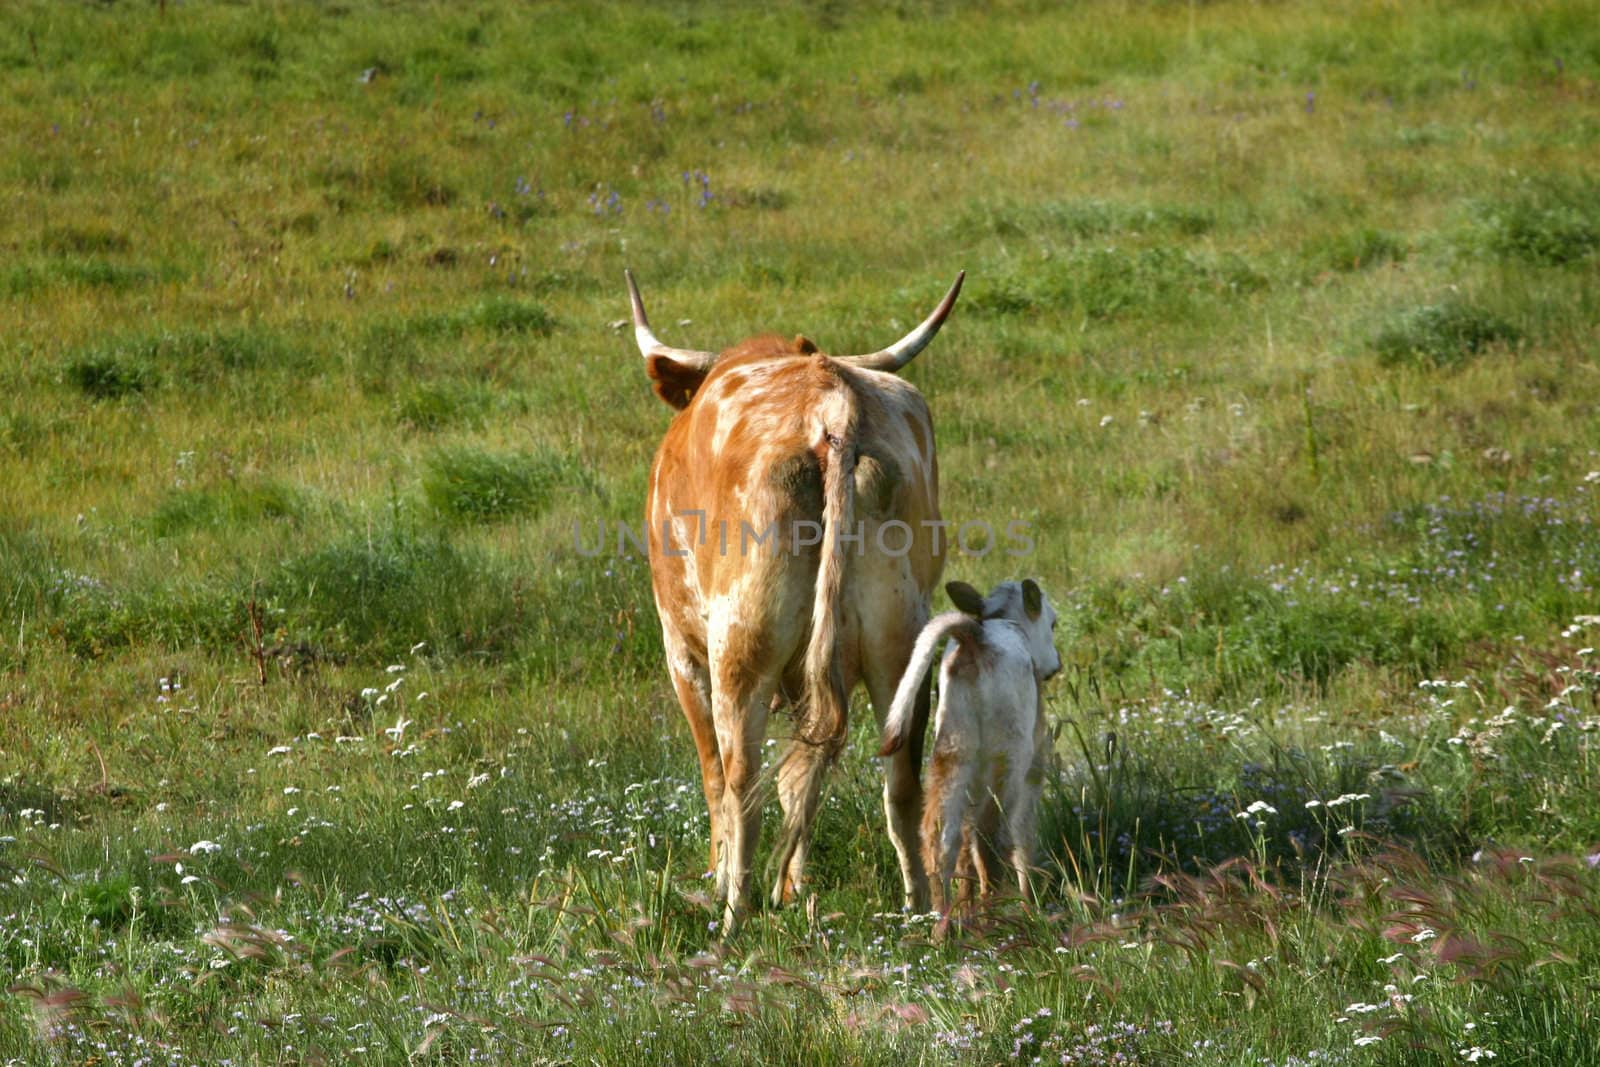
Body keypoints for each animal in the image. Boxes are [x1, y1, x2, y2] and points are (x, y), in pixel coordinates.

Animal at [627, 268, 960, 927]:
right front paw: (795, 883)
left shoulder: (680, 650)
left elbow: (715, 773)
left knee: (741, 779)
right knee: (900, 778)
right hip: (898, 644)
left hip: (740, 650)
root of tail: (831, 407)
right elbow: (803, 779)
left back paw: (734, 911)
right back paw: (915, 908)